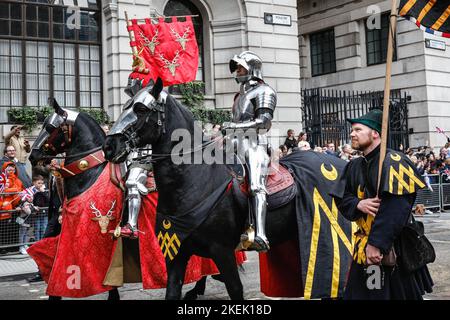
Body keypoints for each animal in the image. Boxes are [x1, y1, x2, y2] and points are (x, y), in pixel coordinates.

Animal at [103, 78, 298, 300]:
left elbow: (235, 289)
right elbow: (172, 291)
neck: (192, 182)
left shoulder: (222, 251)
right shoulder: (176, 253)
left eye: (141, 109)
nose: (109, 146)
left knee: (257, 189)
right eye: (125, 107)